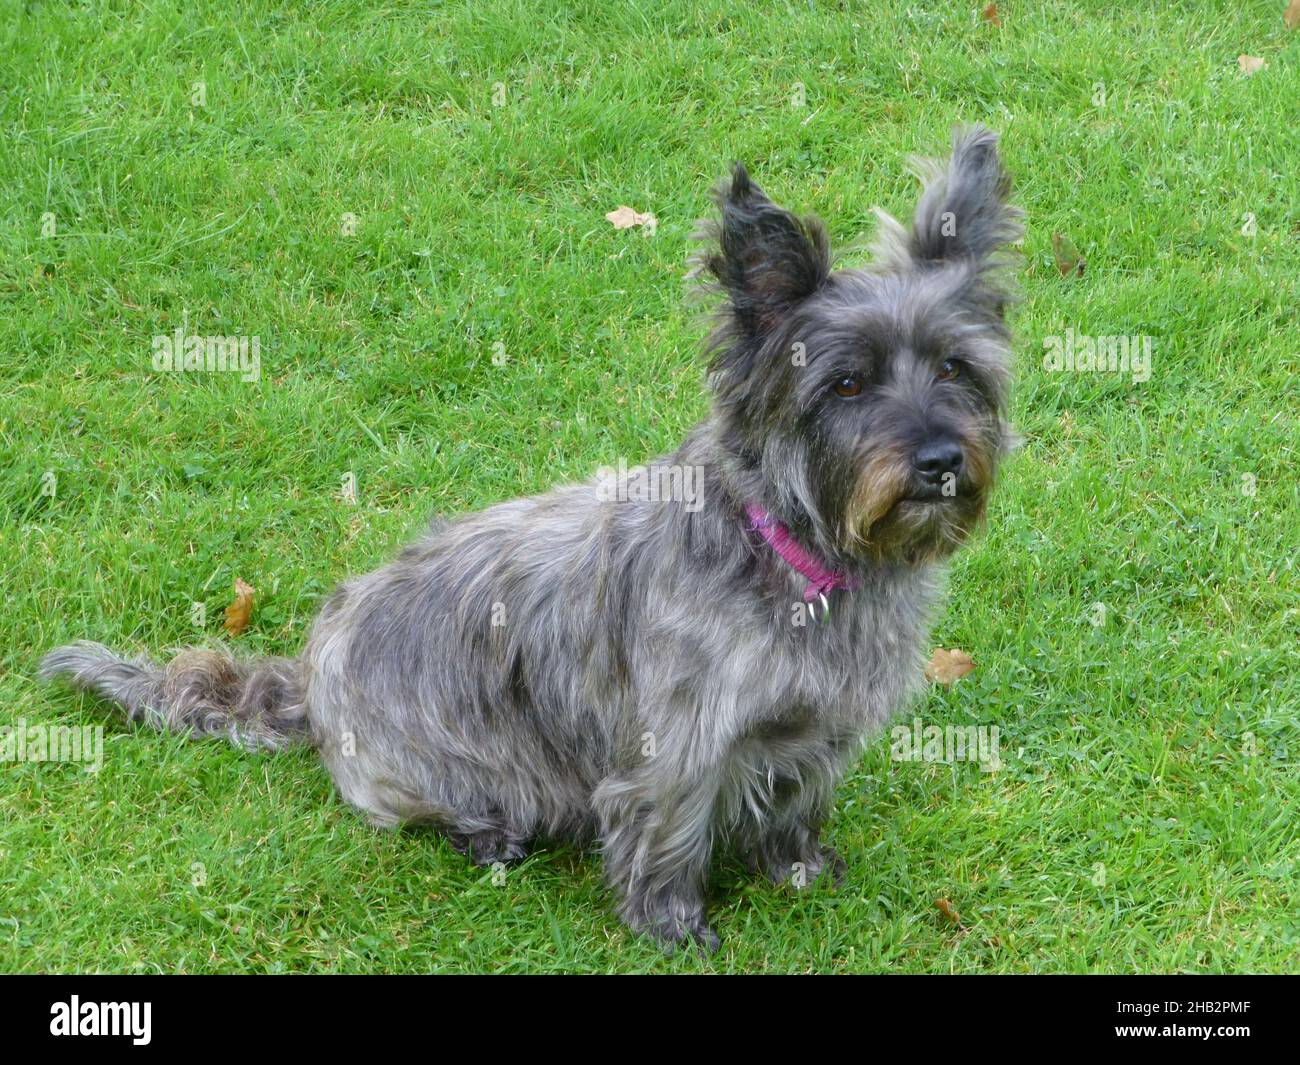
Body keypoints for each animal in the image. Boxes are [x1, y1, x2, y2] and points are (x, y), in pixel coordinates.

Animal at [43, 126, 1024, 957]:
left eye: (955, 367)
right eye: (847, 383)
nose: (939, 460)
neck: (795, 552)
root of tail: (311, 672)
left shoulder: (818, 733)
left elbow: (795, 806)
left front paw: (801, 869)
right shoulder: (679, 743)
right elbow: (668, 831)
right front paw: (671, 926)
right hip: (429, 772)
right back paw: (488, 836)